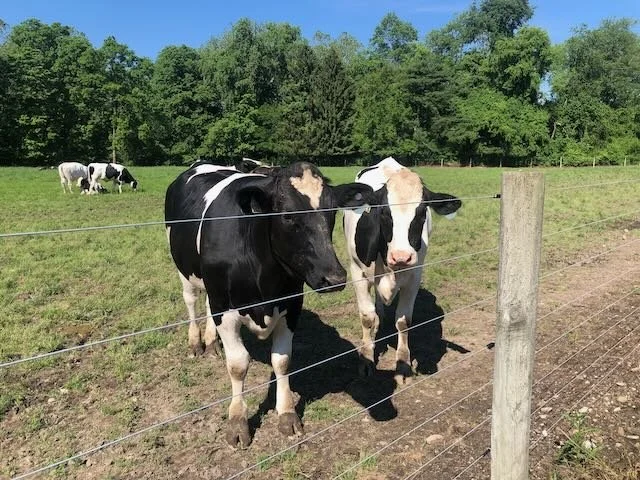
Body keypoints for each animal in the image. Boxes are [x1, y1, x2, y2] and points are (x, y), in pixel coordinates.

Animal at [165, 161, 372, 447]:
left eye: (332, 213)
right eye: (287, 216)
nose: (334, 278)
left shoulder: (291, 305)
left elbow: (282, 360)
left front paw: (287, 414)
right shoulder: (225, 309)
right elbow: (238, 365)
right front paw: (237, 422)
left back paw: (212, 341)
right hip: (184, 270)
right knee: (192, 300)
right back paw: (196, 342)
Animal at [343, 157, 462, 384]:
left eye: (422, 213)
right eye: (384, 212)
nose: (401, 256)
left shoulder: (415, 275)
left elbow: (404, 320)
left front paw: (403, 365)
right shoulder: (356, 272)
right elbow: (367, 317)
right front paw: (366, 360)